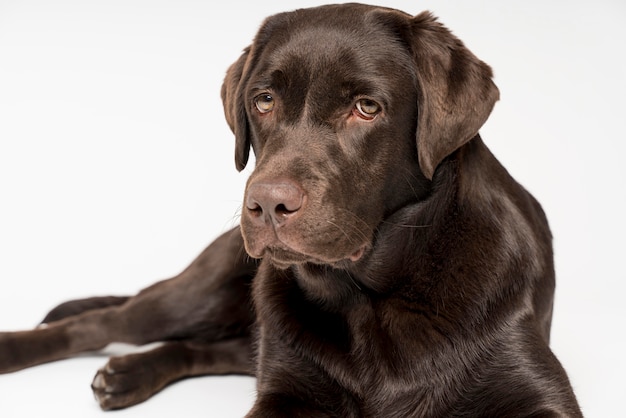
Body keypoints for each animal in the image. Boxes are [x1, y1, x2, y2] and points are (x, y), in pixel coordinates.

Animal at [0, 4, 580, 418]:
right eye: (263, 100)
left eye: (366, 107)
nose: (266, 203)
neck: (371, 296)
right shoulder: (286, 389)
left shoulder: (533, 387)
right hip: (206, 289)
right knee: (105, 322)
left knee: (211, 347)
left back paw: (127, 375)